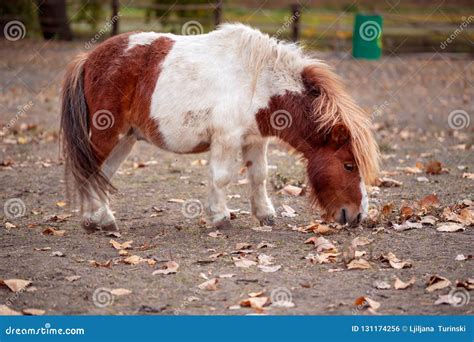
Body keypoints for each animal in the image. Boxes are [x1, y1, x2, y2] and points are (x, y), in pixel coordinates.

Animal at [60, 23, 378, 232]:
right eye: (349, 165)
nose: (358, 216)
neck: (258, 81)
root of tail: (89, 58)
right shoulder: (226, 139)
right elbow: (222, 177)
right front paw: (219, 217)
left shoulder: (256, 140)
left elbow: (259, 176)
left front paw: (264, 215)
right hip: (107, 134)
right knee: (90, 171)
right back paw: (96, 221)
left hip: (124, 139)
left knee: (102, 173)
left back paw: (100, 218)